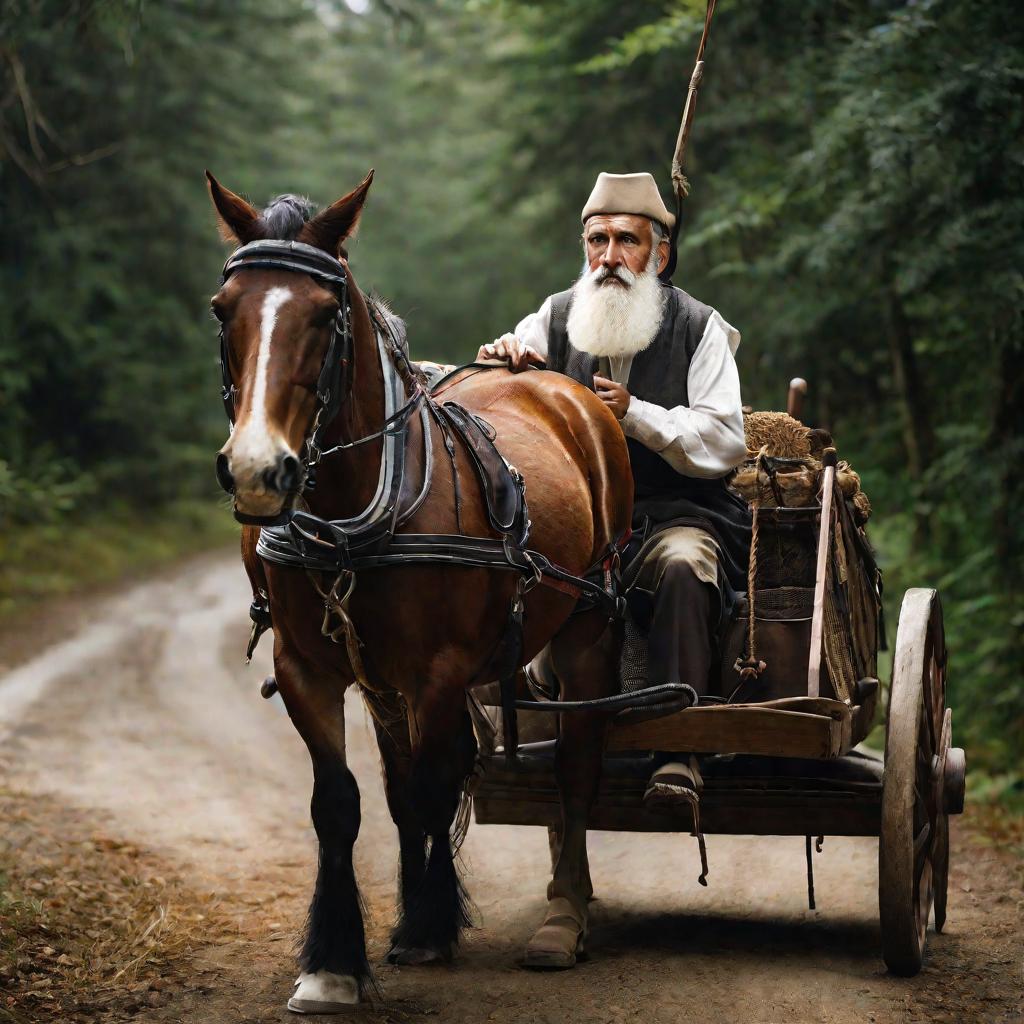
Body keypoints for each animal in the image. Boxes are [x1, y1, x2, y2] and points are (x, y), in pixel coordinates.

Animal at [205, 172, 630, 1011]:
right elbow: (346, 803)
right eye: (221, 307)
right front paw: (336, 963)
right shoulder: (312, 670)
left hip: (586, 629)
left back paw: (565, 913)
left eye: (326, 313)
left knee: (576, 770)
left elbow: (434, 788)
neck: (352, 515)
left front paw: (430, 926)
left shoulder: (436, 671)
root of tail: (566, 388)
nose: (258, 470)